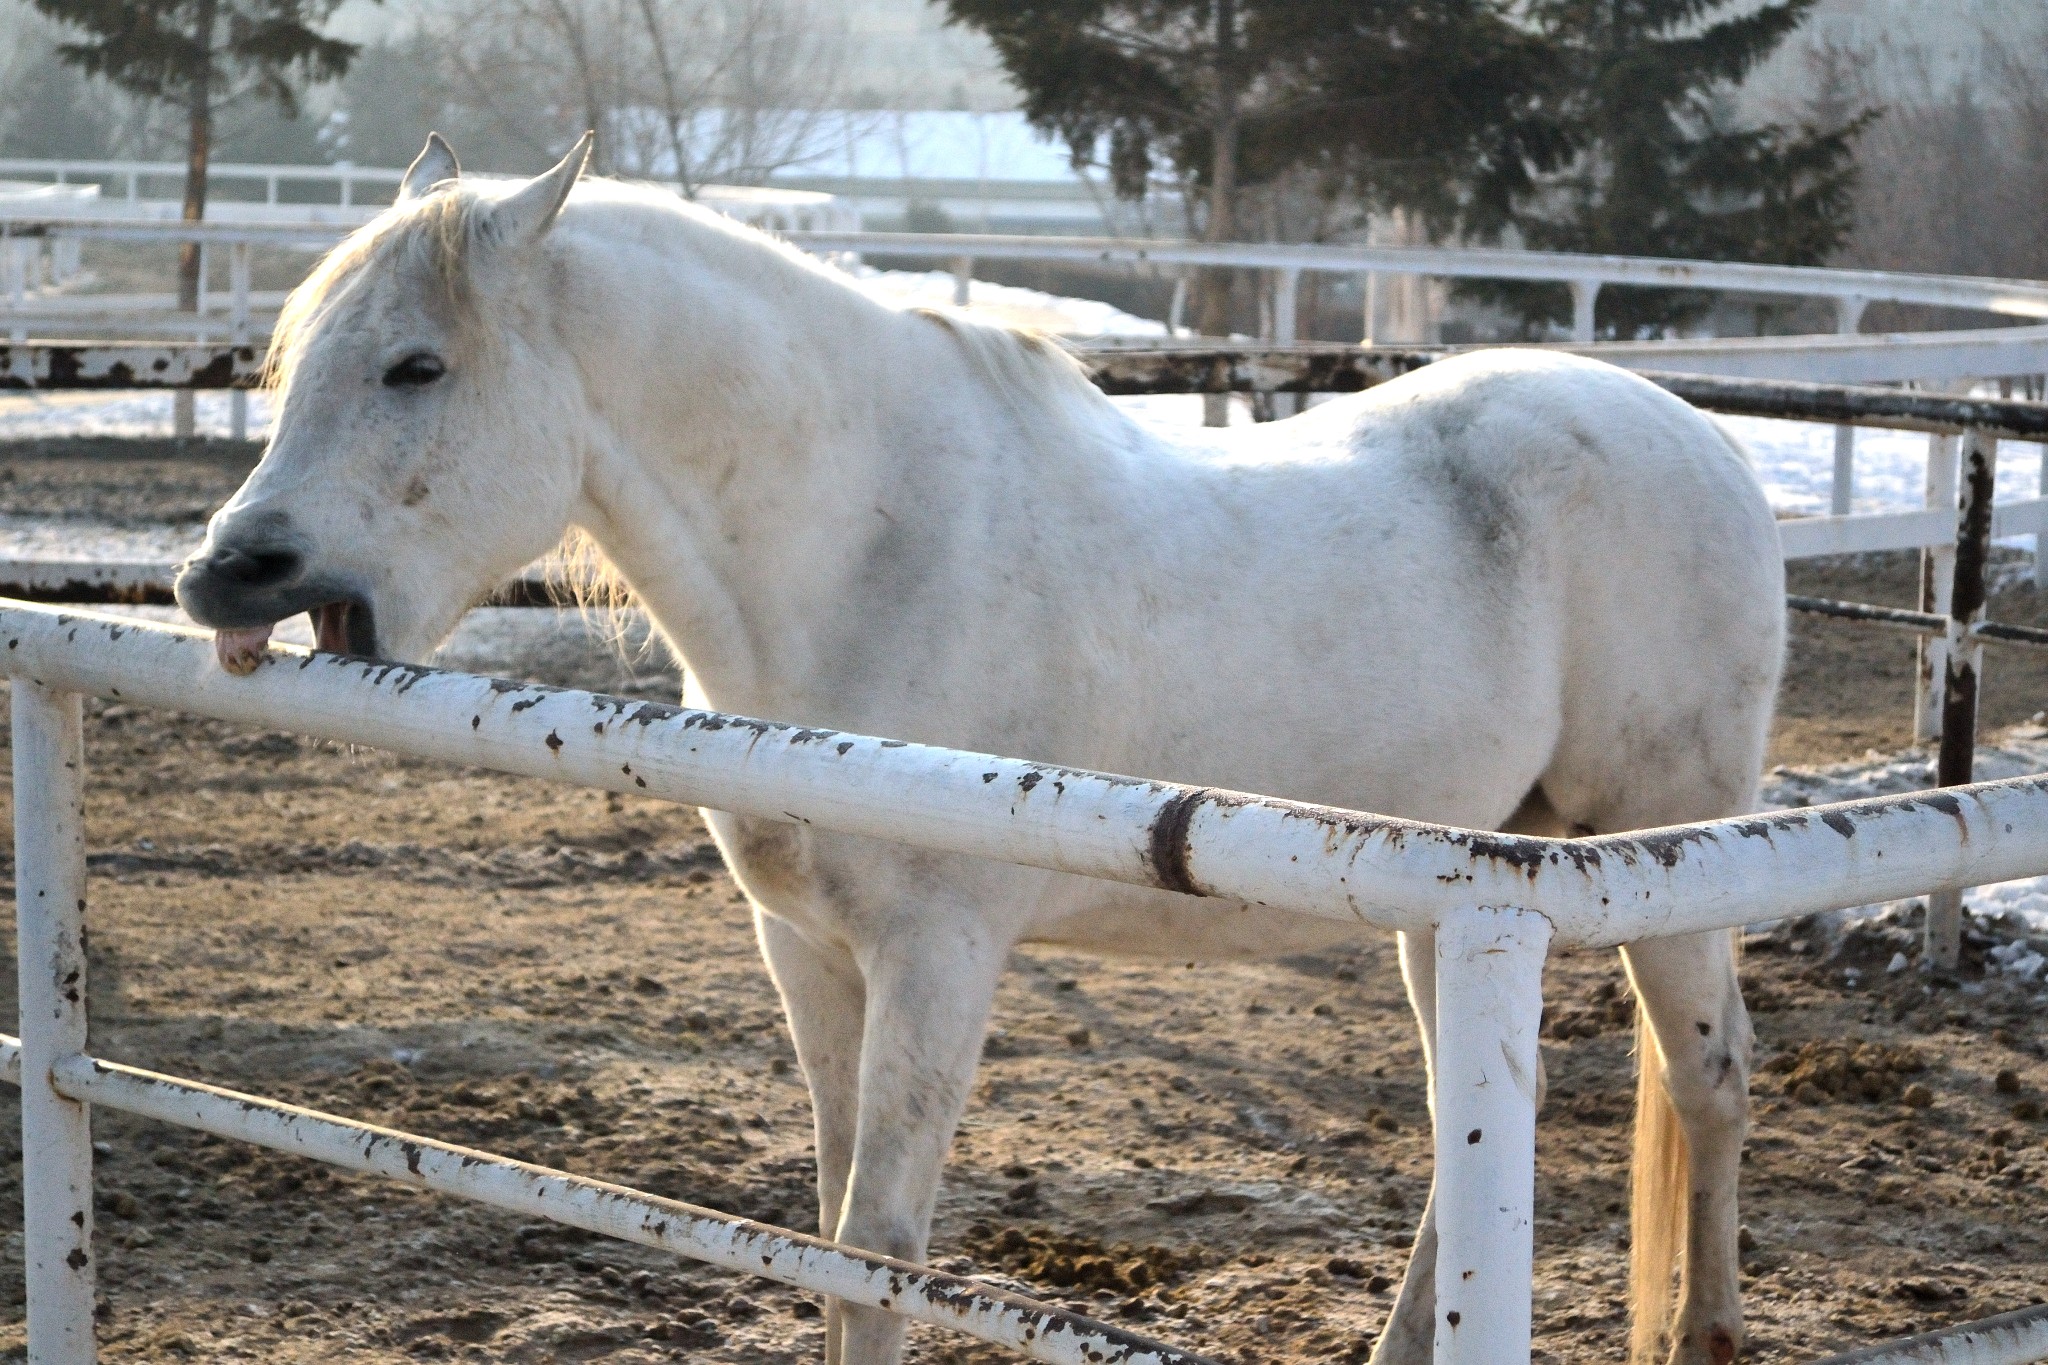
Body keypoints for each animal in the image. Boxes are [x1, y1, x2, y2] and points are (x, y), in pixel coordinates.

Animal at [180, 141, 1777, 1365]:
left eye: (416, 365)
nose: (225, 574)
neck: (872, 549)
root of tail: (1703, 439)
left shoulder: (939, 957)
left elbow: (881, 1244)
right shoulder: (807, 951)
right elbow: (828, 1234)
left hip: (1655, 855)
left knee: (1708, 1080)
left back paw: (1707, 1330)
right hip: (1458, 892)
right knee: (1481, 1126)